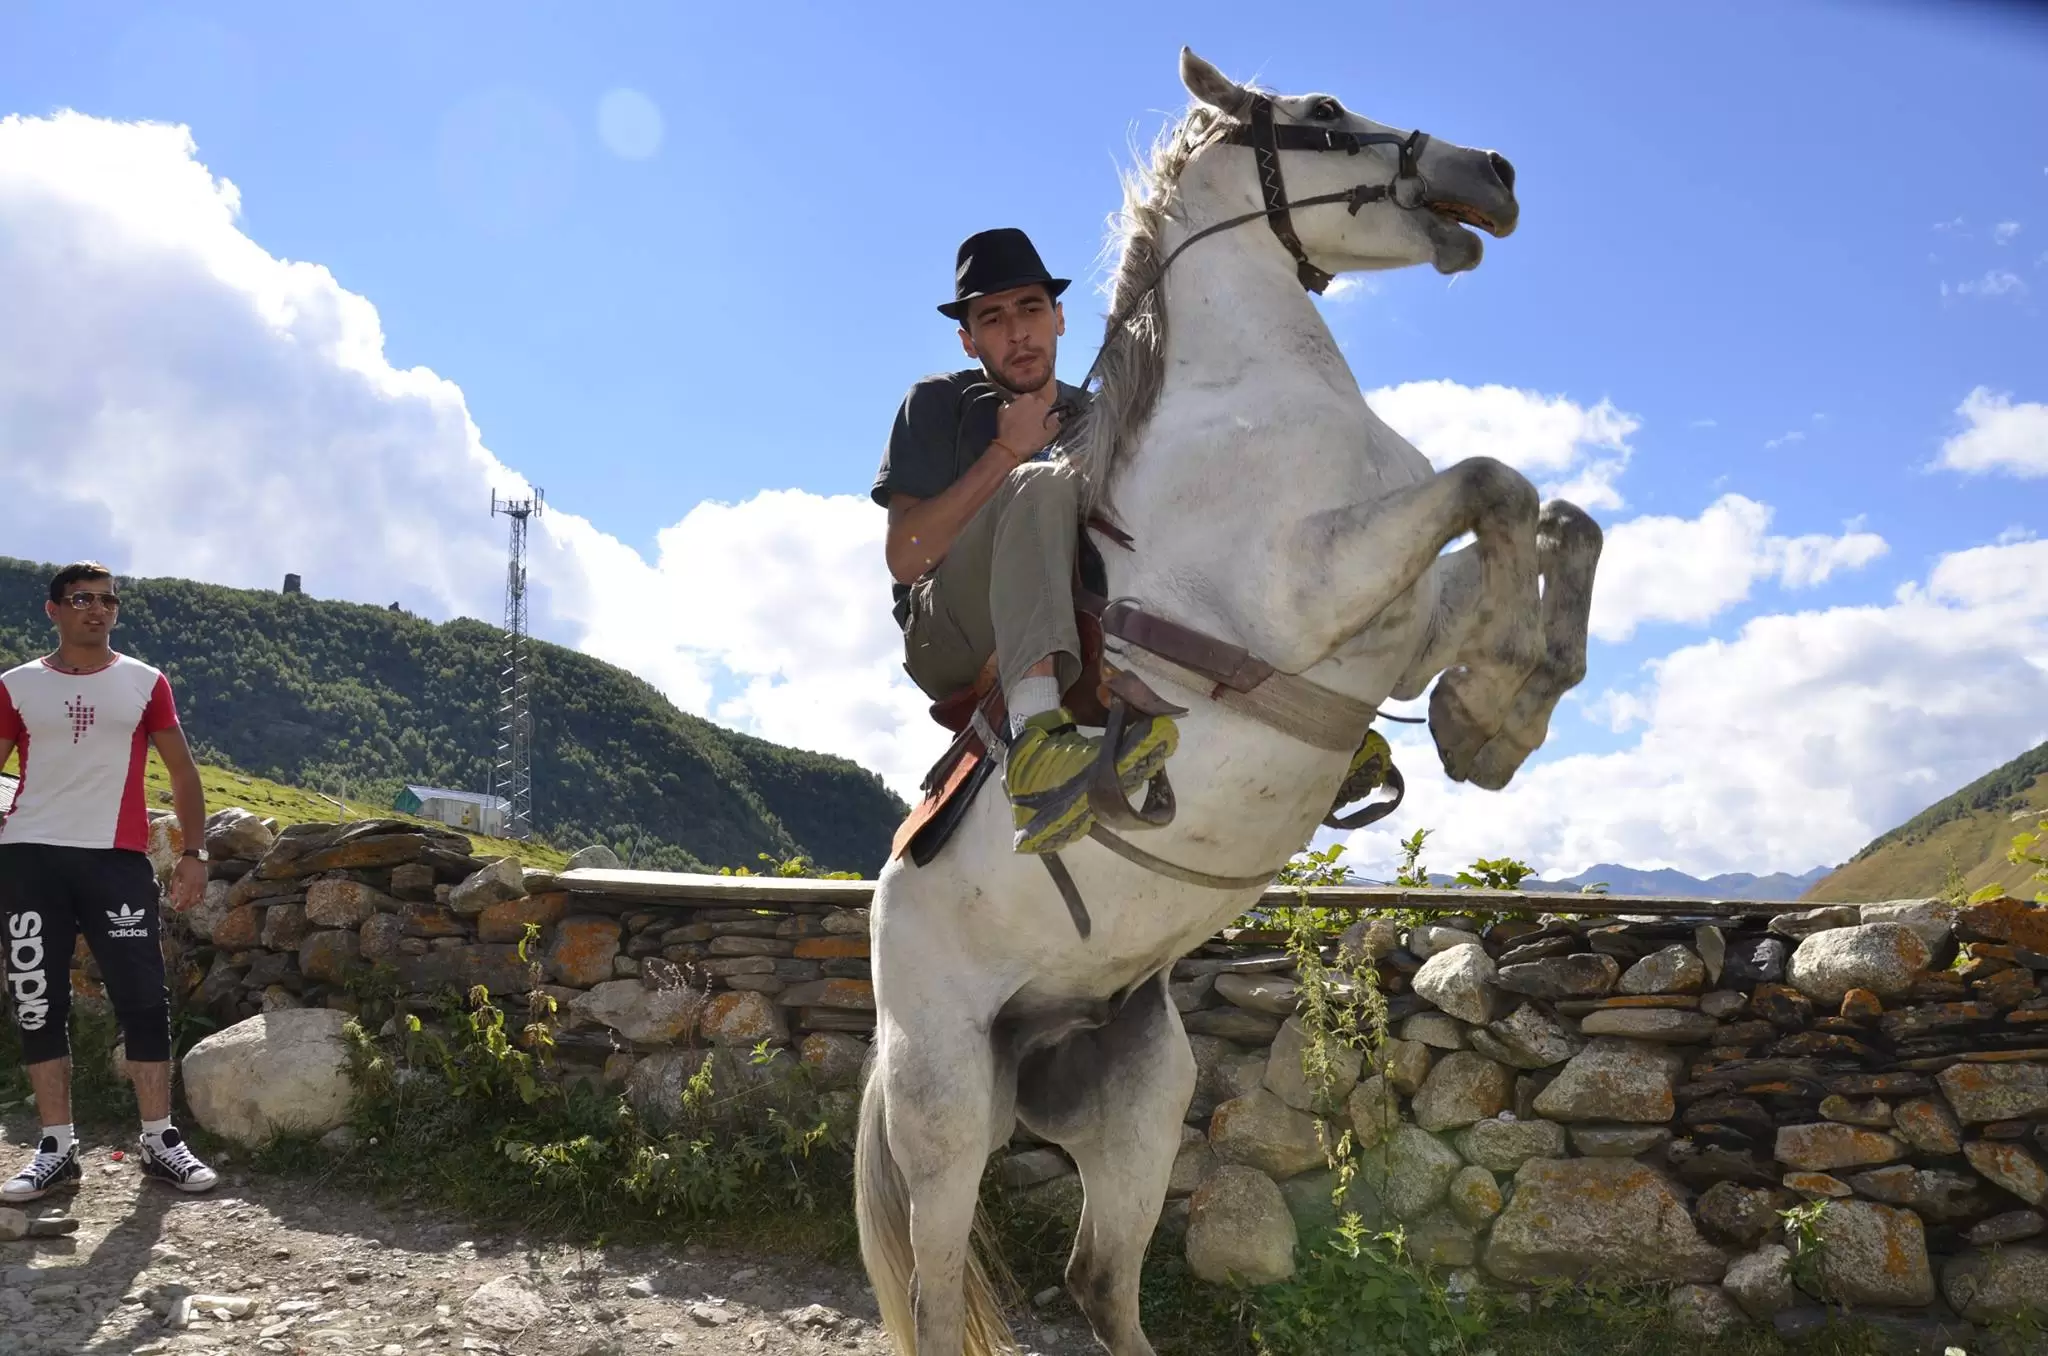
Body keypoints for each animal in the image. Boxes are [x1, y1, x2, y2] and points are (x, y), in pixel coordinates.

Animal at [857, 48, 1602, 1356]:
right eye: (1320, 113)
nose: (1492, 173)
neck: (1252, 403)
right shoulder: (1311, 589)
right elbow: (1492, 483)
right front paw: (1489, 706)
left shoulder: (1396, 628)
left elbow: (1556, 521)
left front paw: (1491, 713)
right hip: (942, 1112)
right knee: (945, 1299)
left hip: (1141, 1096)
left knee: (1099, 1280)